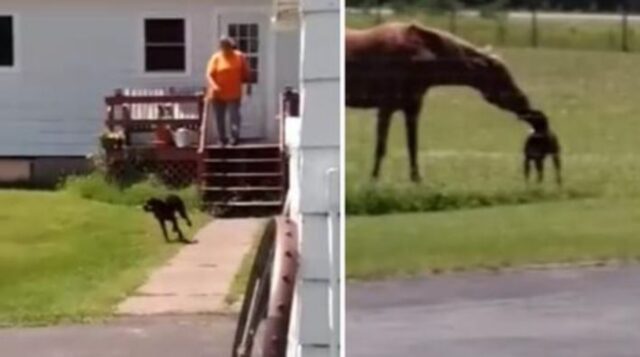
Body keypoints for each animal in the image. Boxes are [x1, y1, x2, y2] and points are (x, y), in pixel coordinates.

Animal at [344, 21, 556, 182]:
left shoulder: (412, 107)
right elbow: (381, 148)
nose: (524, 102)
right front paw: (373, 181)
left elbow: (412, 146)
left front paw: (416, 180)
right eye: (501, 77)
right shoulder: (385, 107)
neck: (417, 57)